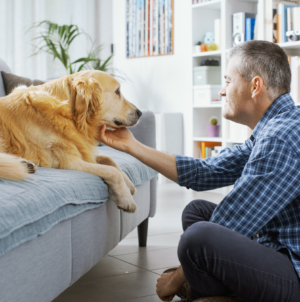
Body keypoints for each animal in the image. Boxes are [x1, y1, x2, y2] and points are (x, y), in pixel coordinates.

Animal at [0, 70, 142, 212]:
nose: (140, 113)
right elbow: (112, 171)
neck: (70, 115)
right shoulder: (69, 163)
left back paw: (25, 165)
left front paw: (129, 184)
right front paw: (126, 199)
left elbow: (110, 160)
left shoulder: (83, 151)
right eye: (117, 91)